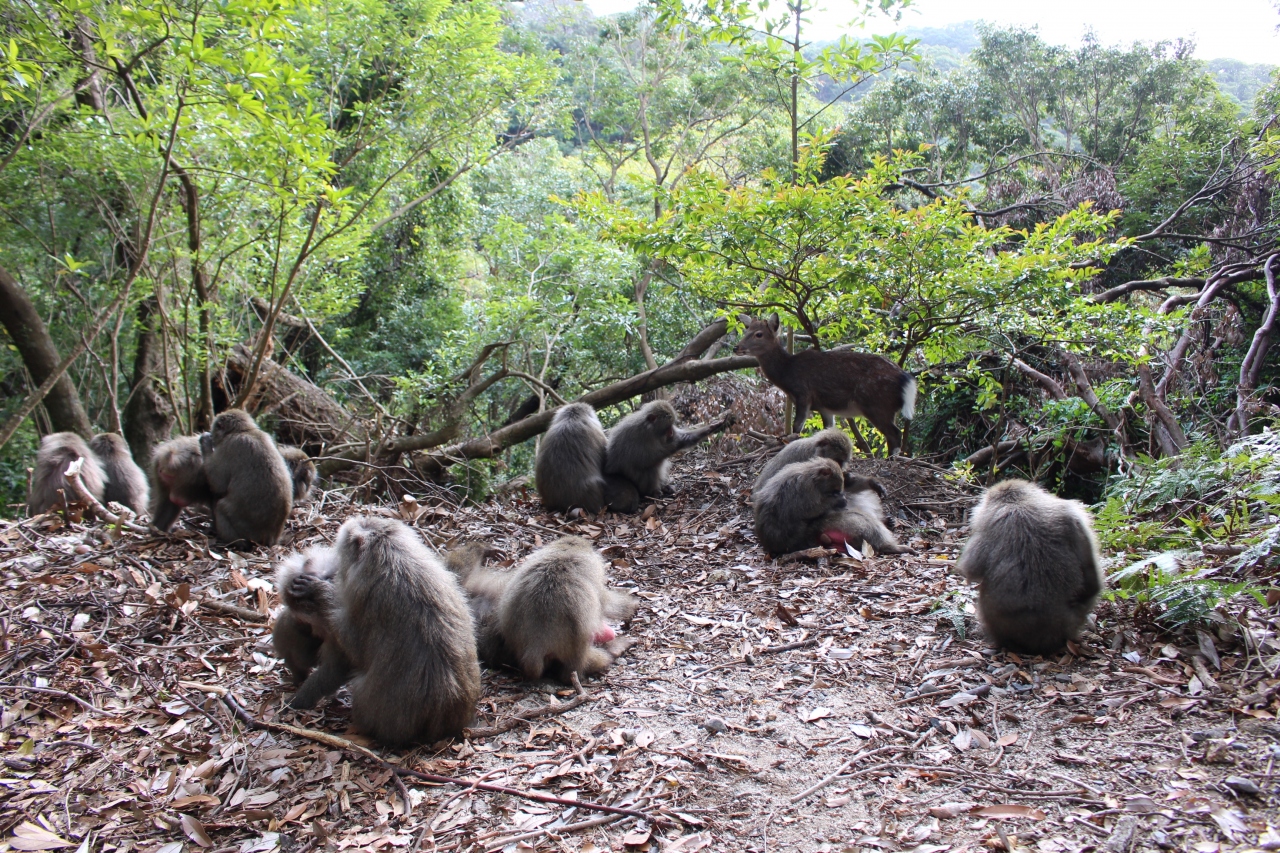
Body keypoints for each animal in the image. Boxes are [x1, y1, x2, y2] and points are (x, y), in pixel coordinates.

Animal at [202, 409, 293, 546]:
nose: (212, 436)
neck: (244, 431)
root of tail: (270, 537)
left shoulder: (229, 446)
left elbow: (217, 483)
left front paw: (205, 442)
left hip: (246, 531)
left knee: (221, 507)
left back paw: (234, 542)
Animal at [603, 400, 734, 512]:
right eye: (667, 427)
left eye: (671, 426)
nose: (671, 432)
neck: (651, 430)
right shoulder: (636, 435)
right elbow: (642, 461)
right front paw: (674, 445)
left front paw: (713, 426)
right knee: (649, 468)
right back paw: (653, 493)